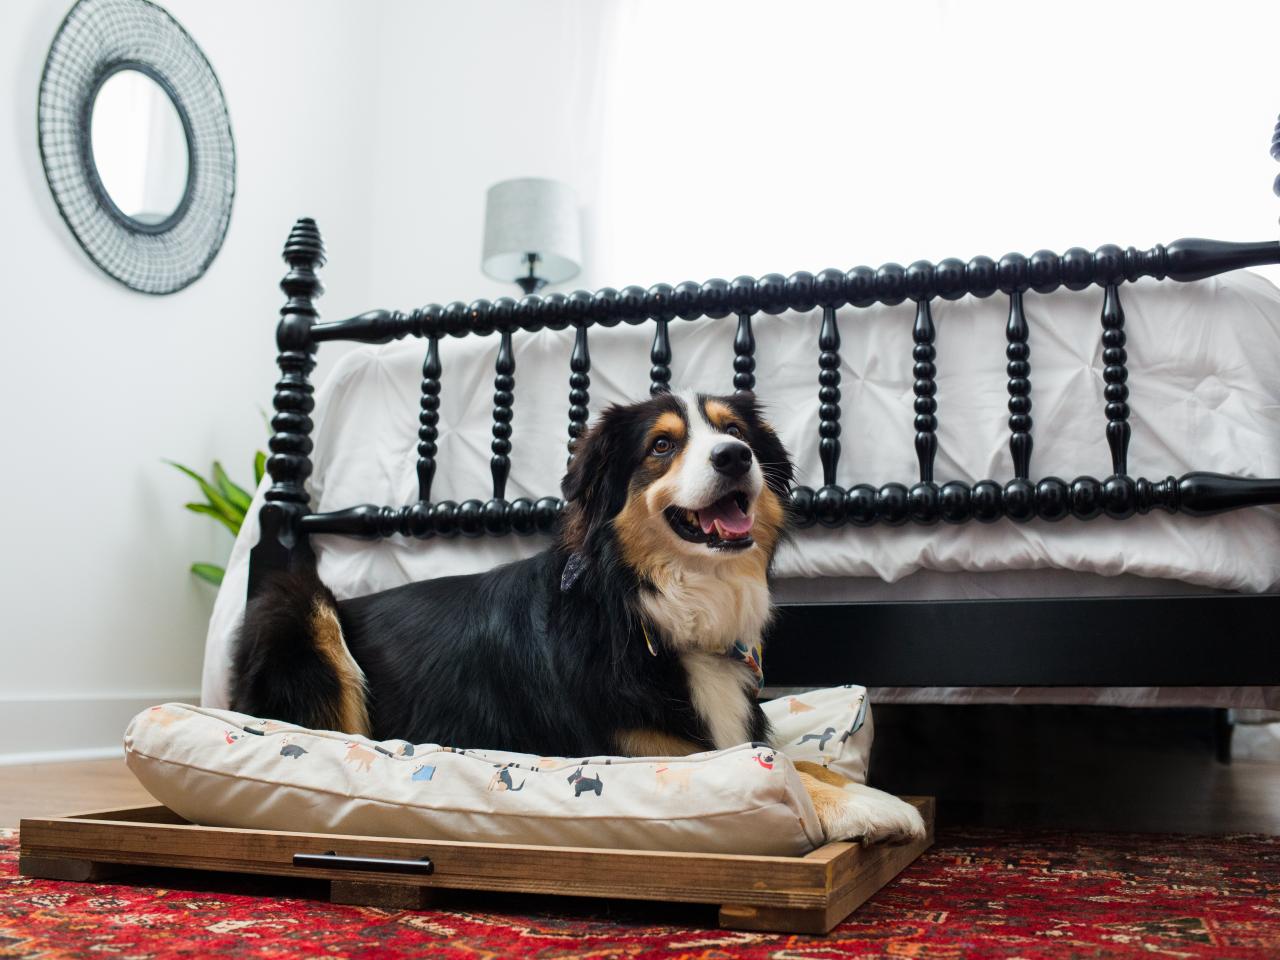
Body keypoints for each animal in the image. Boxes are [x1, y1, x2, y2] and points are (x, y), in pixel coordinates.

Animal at [230, 389, 926, 839]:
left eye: (736, 433)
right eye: (662, 445)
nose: (734, 456)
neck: (647, 609)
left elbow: (798, 759)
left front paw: (867, 790)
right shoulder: (642, 753)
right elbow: (783, 772)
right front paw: (878, 810)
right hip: (296, 606)